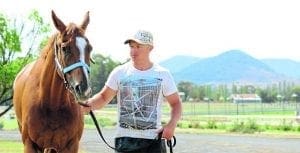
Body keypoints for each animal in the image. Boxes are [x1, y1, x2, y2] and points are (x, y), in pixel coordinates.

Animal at [13, 10, 92, 152]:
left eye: (90, 48)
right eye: (65, 48)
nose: (84, 89)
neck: (52, 104)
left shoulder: (72, 145)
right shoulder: (29, 144)